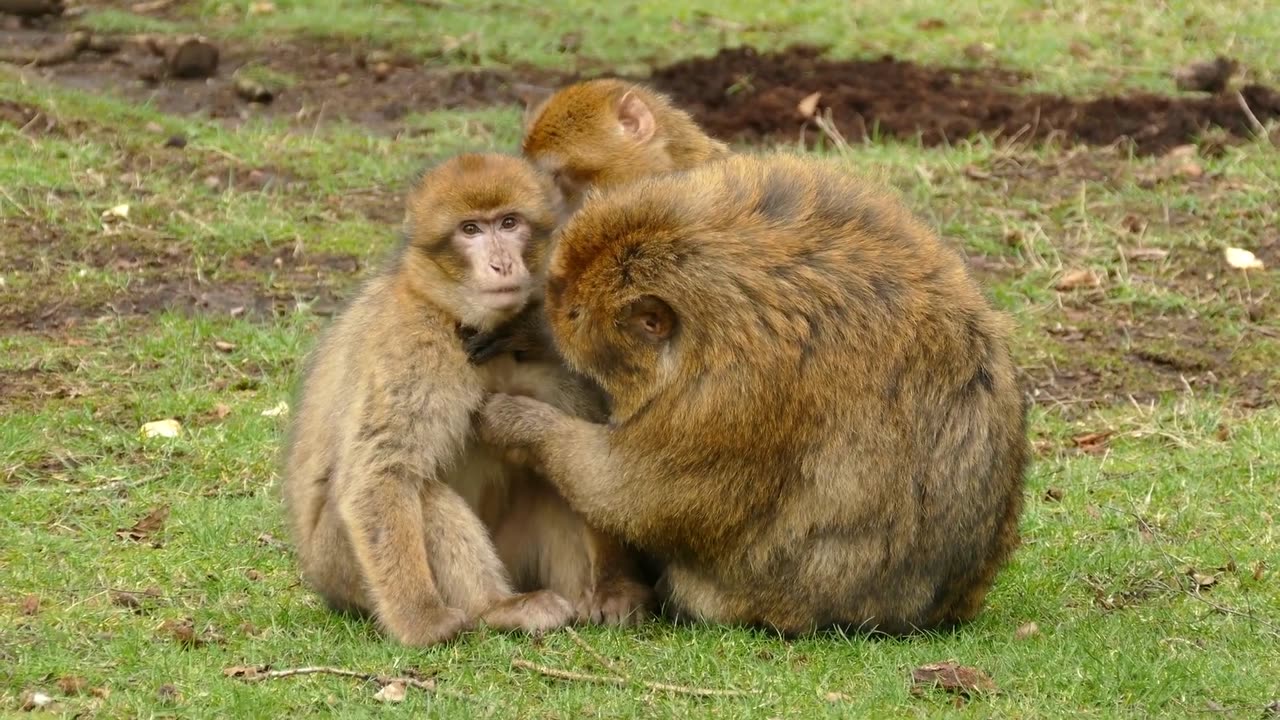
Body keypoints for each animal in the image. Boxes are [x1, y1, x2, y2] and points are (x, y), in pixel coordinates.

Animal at [286, 152, 655, 645]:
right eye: (471, 230)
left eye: (509, 223)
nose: (500, 263)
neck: (465, 324)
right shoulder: (412, 347)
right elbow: (380, 476)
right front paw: (420, 620)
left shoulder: (558, 361)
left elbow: (593, 462)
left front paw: (617, 583)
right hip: (341, 566)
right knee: (421, 491)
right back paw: (496, 608)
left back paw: (594, 593)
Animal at [481, 152, 1029, 632]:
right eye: (557, 290)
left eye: (573, 313)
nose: (551, 311)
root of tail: (945, 607)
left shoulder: (730, 395)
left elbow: (638, 493)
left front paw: (522, 424)